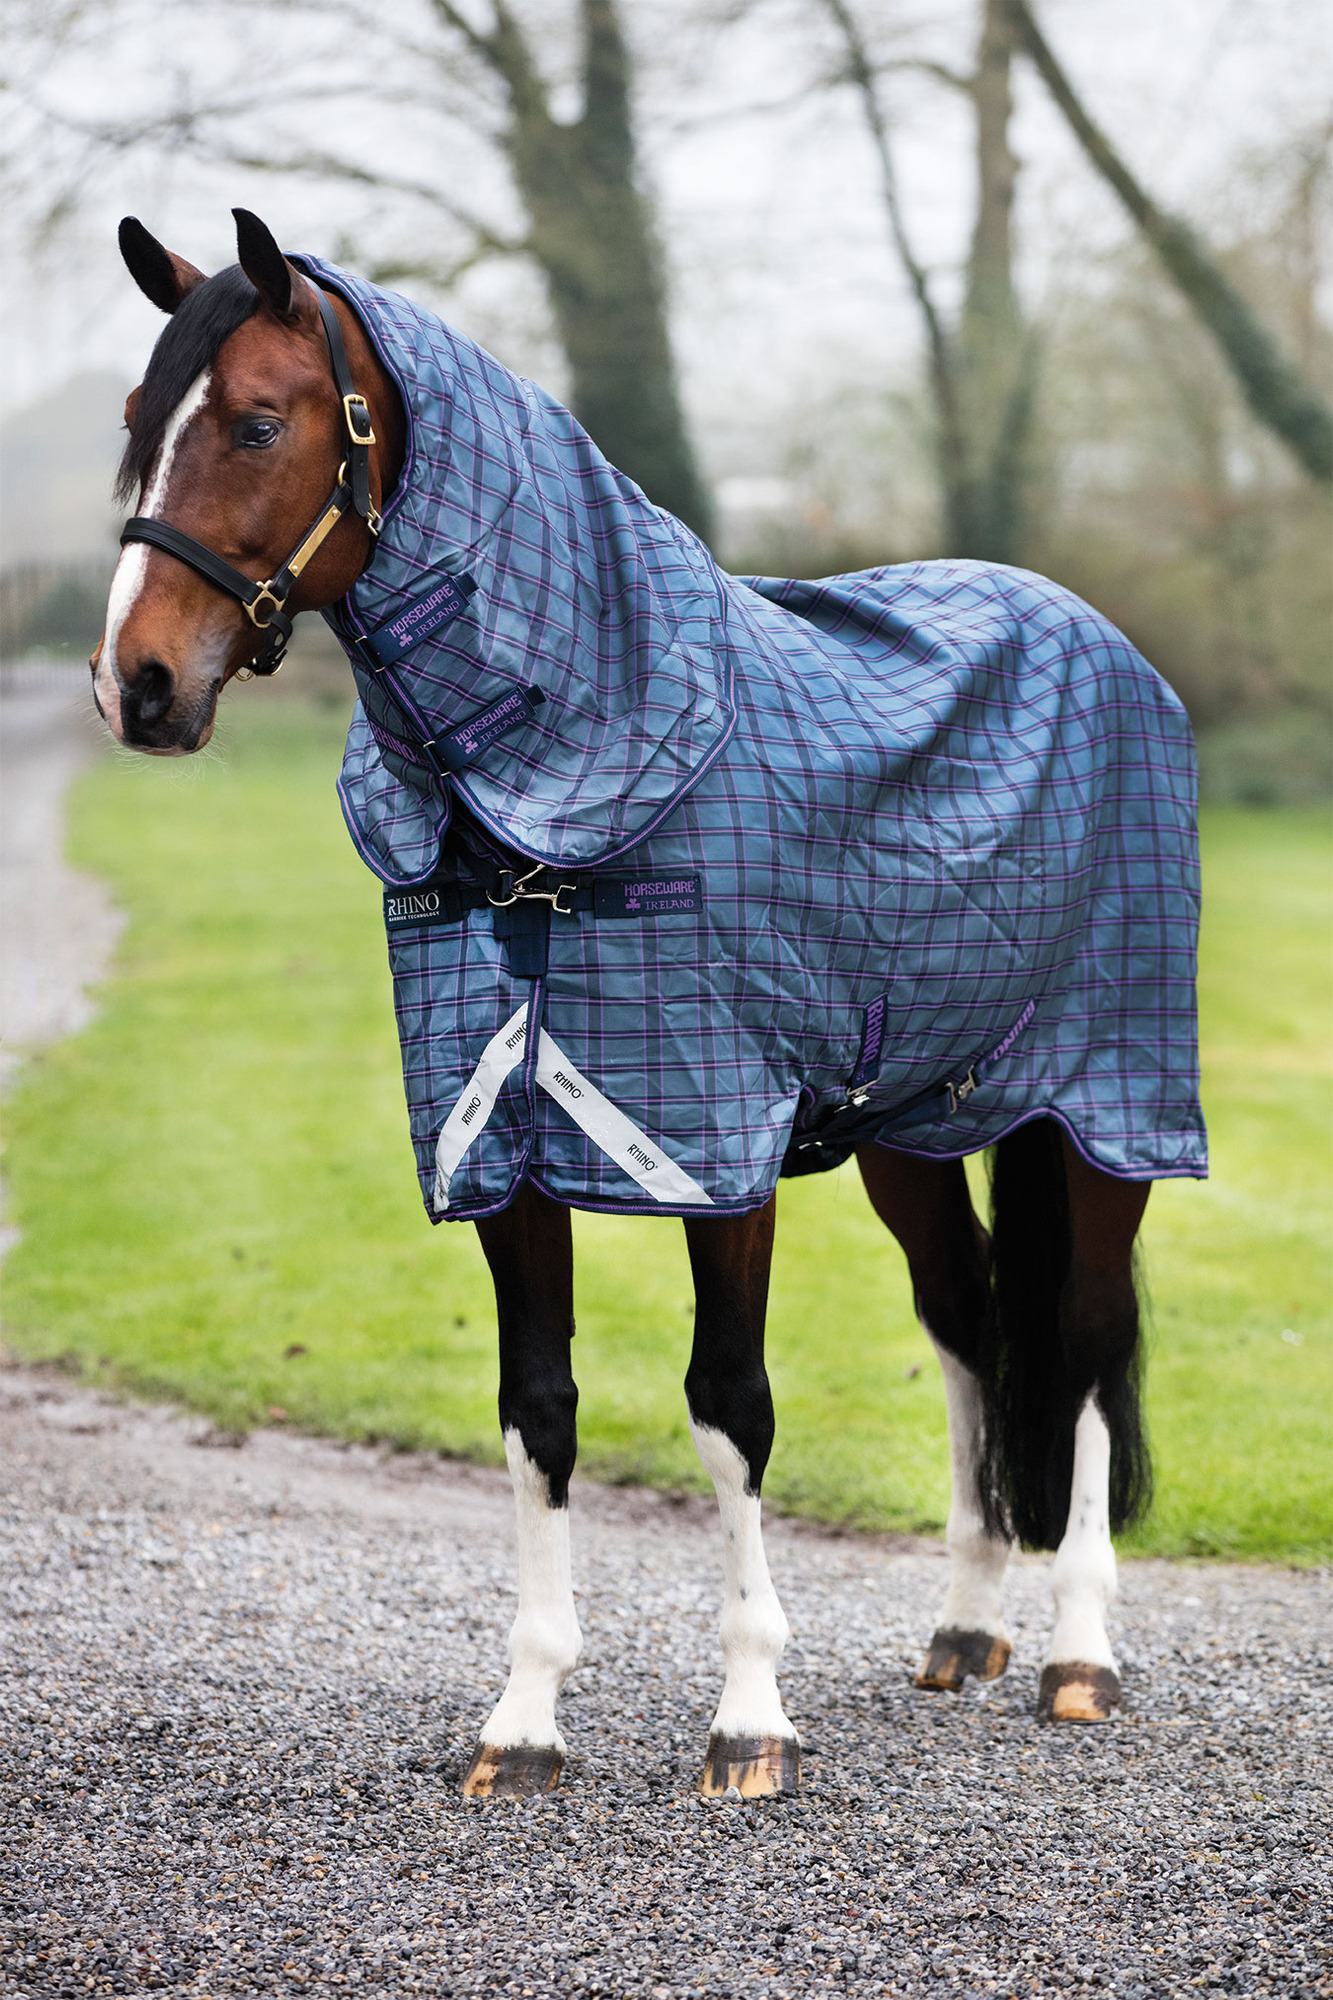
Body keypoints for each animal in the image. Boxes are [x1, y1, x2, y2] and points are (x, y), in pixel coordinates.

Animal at [92, 208, 1206, 1801]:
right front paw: (525, 1720)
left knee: (1085, 1337)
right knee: (968, 1328)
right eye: (138, 420)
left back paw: (1079, 1654)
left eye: (255, 421)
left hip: (1101, 1108)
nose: (137, 684)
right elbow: (538, 1411)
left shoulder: (714, 1150)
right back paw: (963, 1628)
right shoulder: (496, 1143)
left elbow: (729, 1404)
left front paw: (747, 1720)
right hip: (915, 1134)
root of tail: (1102, 637)